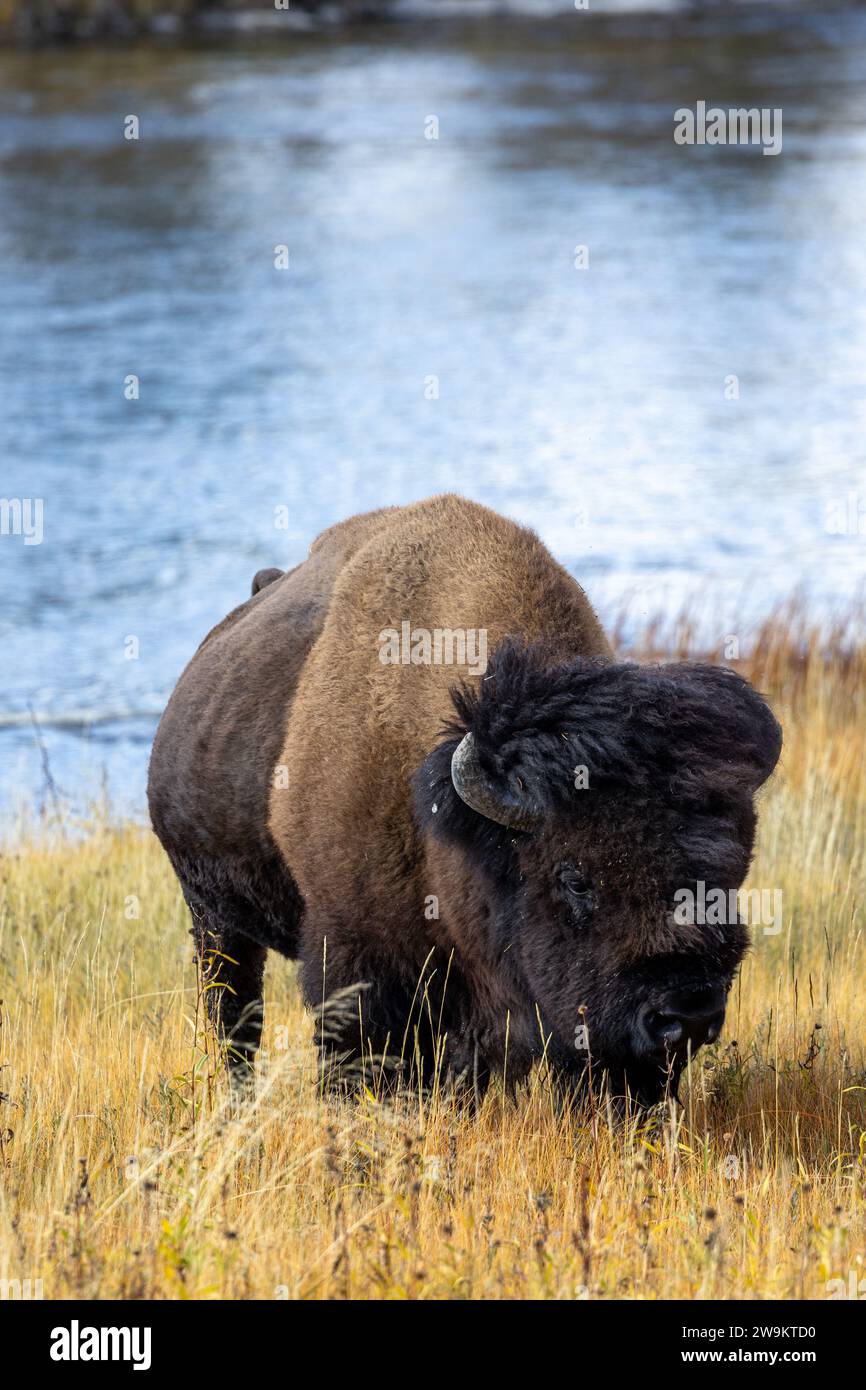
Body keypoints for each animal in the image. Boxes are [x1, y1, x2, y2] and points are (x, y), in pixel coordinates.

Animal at [148, 495, 781, 1107]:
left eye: (732, 875)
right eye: (575, 878)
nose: (687, 1016)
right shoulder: (353, 954)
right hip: (213, 915)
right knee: (234, 1019)